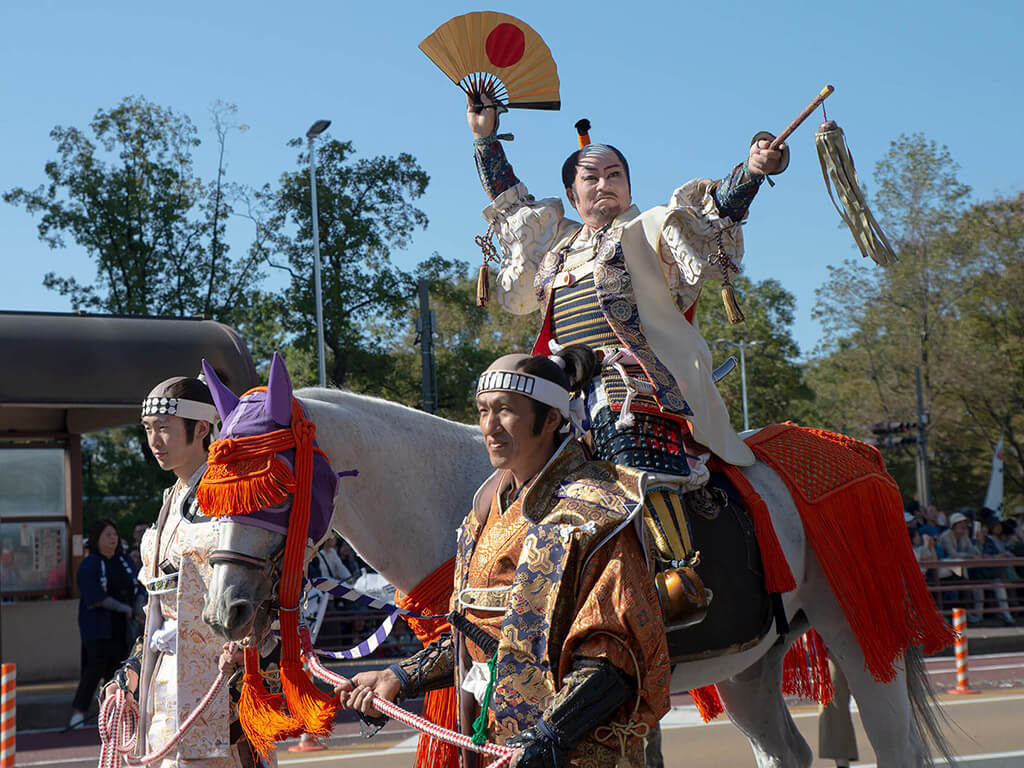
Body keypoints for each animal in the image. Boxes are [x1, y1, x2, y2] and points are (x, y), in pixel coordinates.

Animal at [203, 391, 954, 768]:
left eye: (274, 485)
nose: (223, 611)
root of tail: (860, 456)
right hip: (749, 664)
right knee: (786, 751)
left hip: (859, 631)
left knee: (895, 745)